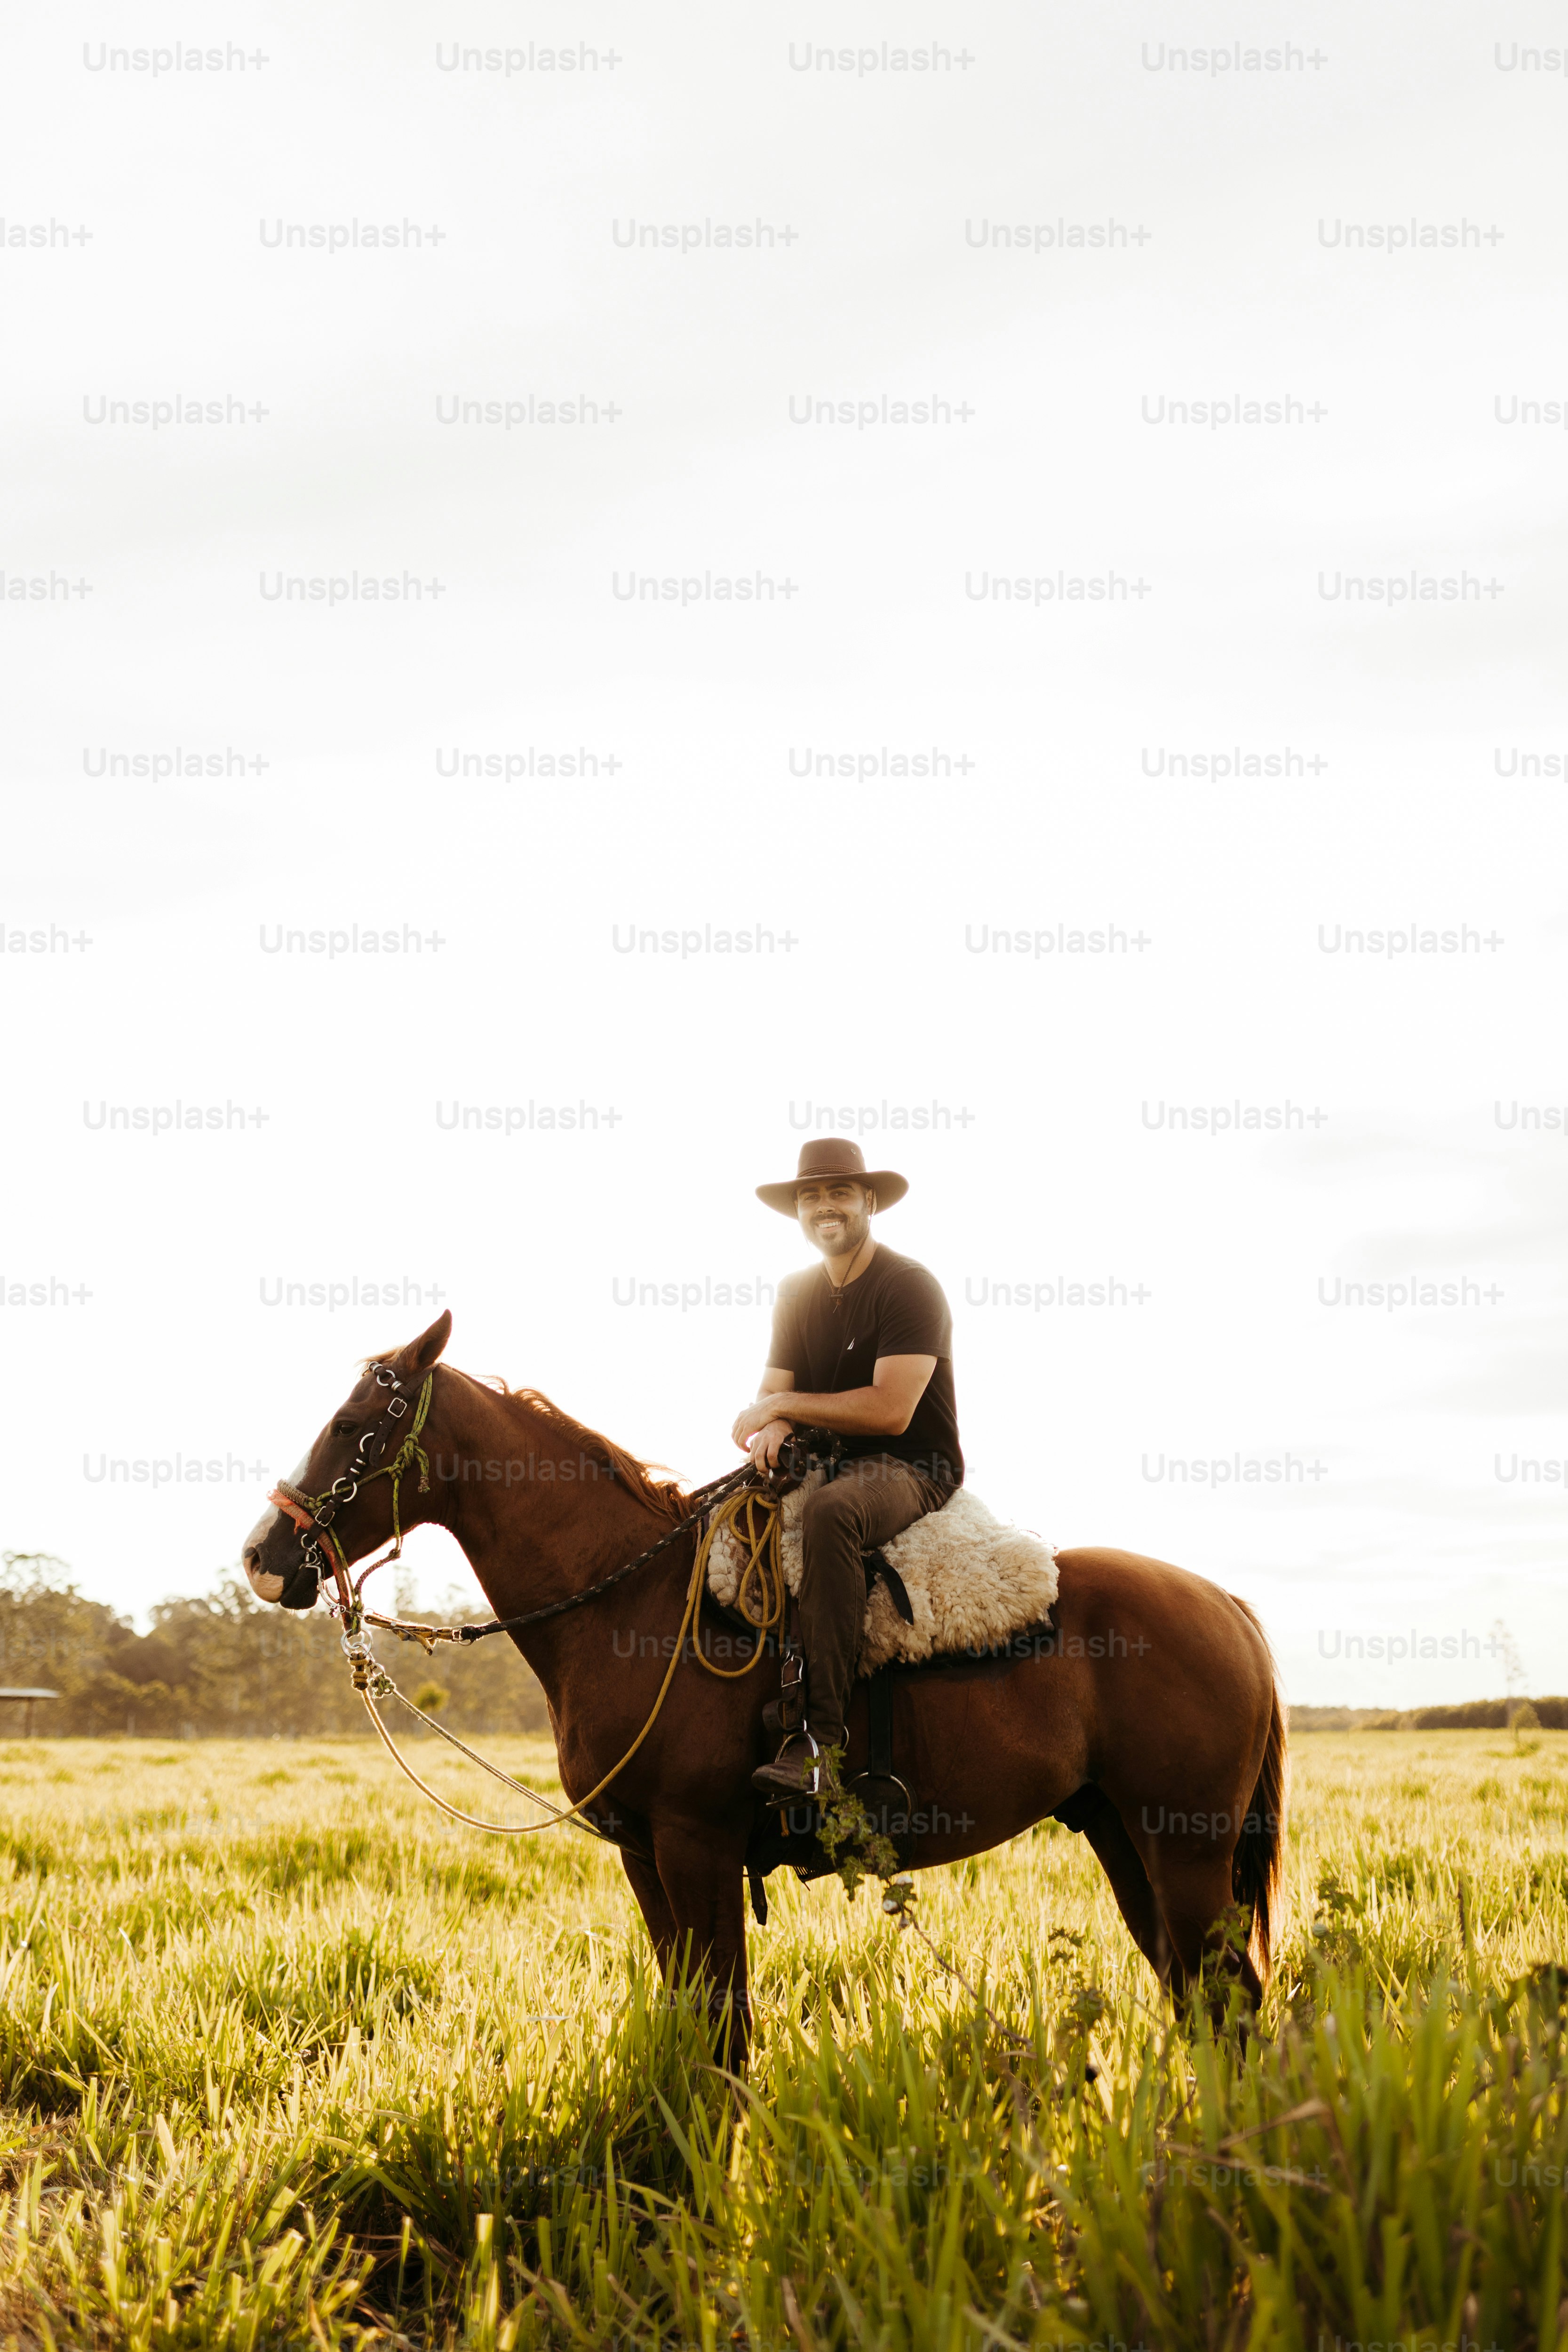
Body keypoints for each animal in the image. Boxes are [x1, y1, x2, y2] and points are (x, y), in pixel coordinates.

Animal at [242, 1317, 1288, 2051]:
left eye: (349, 1423)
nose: (262, 1555)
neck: (629, 1597)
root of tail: (1229, 1607)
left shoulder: (696, 1844)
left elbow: (725, 2031)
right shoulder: (644, 1854)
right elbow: (690, 2019)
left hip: (1185, 1848)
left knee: (1229, 2001)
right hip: (1121, 1833)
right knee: (1197, 1999)